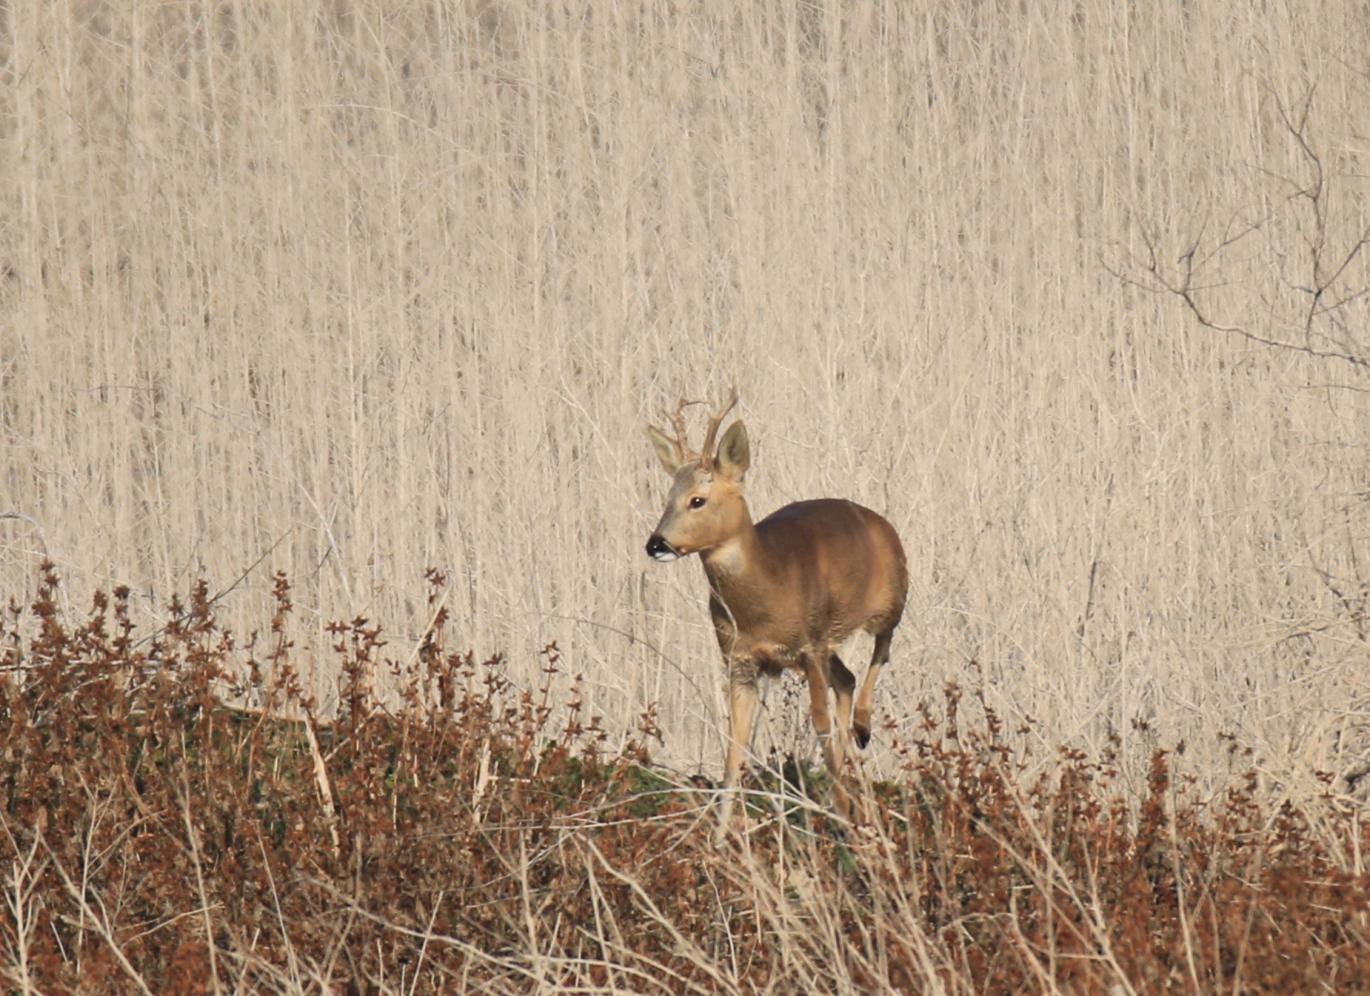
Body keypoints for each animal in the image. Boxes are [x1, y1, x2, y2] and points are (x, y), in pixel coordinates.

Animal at [643, 391, 909, 843]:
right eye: (668, 499)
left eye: (698, 500)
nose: (656, 543)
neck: (767, 591)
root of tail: (881, 522)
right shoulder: (740, 659)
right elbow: (735, 744)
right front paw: (720, 835)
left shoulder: (809, 645)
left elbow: (819, 724)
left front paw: (840, 815)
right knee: (847, 678)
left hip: (890, 601)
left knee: (882, 650)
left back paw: (862, 728)